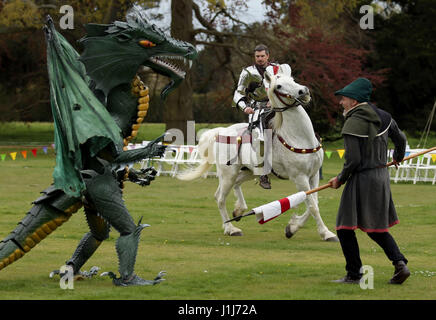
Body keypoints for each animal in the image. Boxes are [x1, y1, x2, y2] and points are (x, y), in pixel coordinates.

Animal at [177, 63, 338, 241]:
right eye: (278, 86)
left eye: (292, 79)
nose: (304, 91)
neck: (300, 137)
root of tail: (221, 132)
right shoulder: (300, 178)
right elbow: (312, 205)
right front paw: (326, 233)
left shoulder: (313, 175)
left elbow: (313, 203)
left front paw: (292, 227)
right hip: (228, 174)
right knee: (220, 198)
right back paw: (230, 228)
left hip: (248, 172)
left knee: (234, 185)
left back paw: (238, 211)